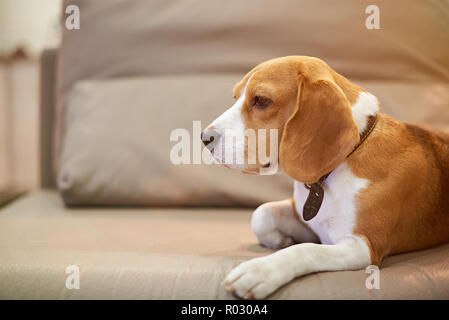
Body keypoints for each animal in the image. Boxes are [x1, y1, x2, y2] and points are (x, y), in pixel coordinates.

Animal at [201, 56, 448, 298]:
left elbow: (307, 250)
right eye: (235, 97)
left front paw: (260, 270)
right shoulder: (307, 218)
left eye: (261, 100)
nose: (204, 138)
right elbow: (261, 213)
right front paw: (280, 239)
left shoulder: (364, 246)